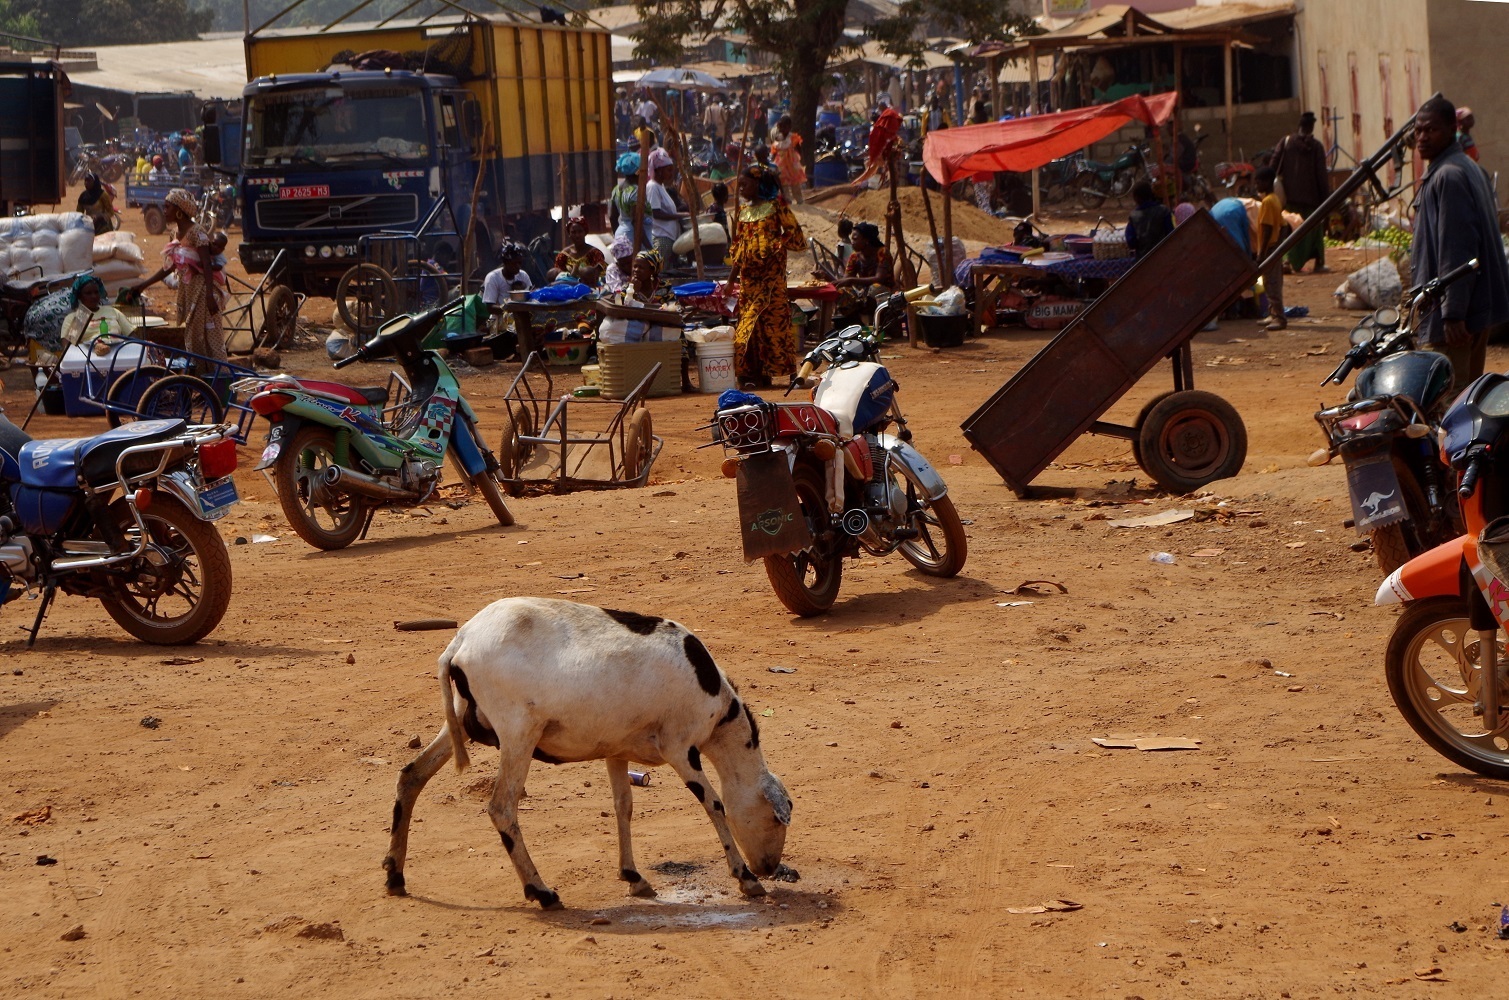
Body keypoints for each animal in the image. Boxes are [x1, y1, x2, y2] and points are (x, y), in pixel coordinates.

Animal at [383, 597, 796, 911]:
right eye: (777, 820)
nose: (769, 866)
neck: (720, 708)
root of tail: (461, 642)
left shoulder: (617, 749)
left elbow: (623, 806)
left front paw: (633, 877)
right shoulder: (680, 748)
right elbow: (714, 805)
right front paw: (746, 879)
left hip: (462, 721)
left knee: (411, 776)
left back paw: (395, 874)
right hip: (518, 732)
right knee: (501, 807)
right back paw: (542, 892)